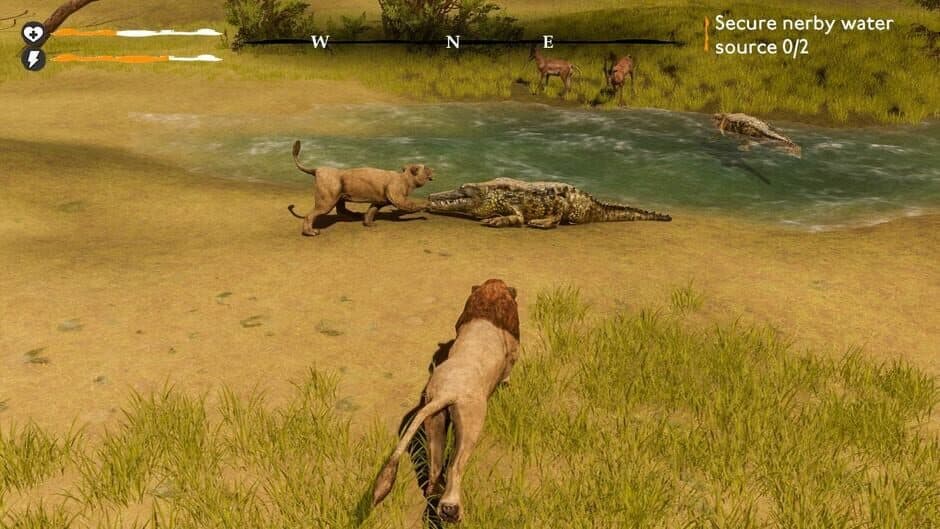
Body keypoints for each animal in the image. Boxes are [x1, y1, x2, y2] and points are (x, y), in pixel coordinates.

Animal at [287, 140, 433, 236]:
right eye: (426, 169)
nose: (433, 170)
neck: (407, 178)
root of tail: (316, 170)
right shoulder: (398, 198)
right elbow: (412, 205)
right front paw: (428, 204)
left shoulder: (380, 201)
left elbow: (371, 211)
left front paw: (369, 224)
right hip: (327, 201)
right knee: (311, 214)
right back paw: (310, 232)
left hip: (339, 196)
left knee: (341, 209)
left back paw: (355, 215)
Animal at [372, 279, 520, 523]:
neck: (489, 299)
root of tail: (447, 391)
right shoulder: (513, 351)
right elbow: (509, 371)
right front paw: (507, 384)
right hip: (471, 420)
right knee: (455, 467)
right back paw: (451, 511)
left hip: (434, 419)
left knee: (434, 470)